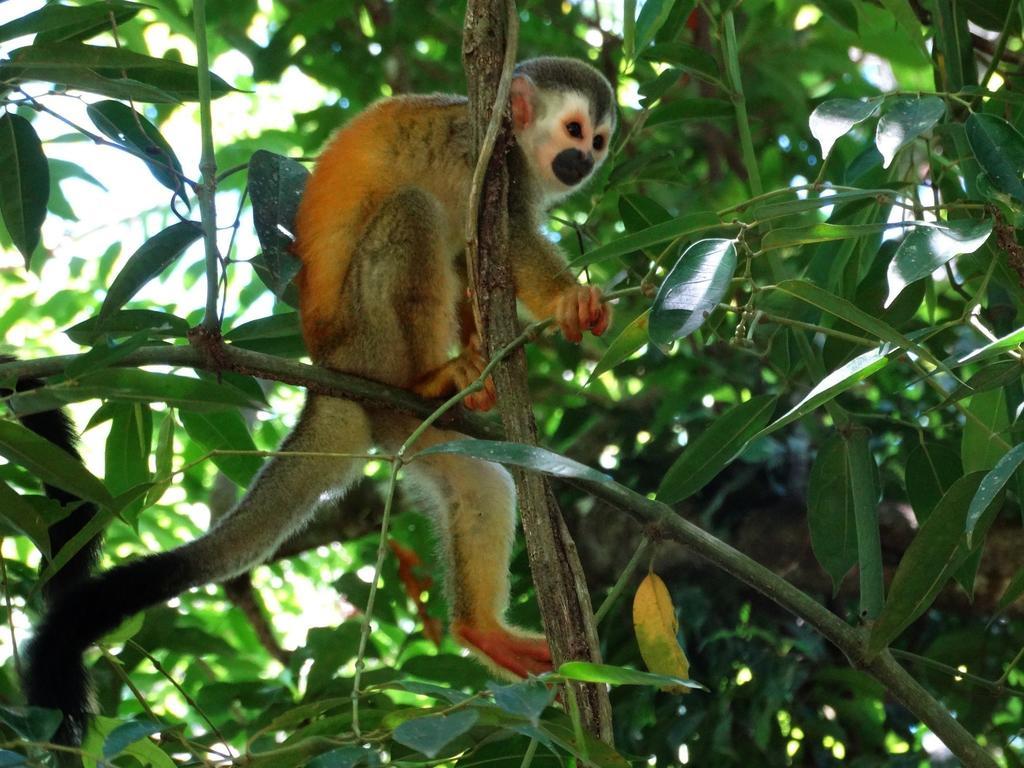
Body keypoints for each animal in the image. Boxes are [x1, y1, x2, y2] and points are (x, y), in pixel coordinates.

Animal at [24, 55, 614, 745]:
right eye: (573, 129)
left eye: (599, 140)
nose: (583, 161)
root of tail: (331, 378)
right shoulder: (488, 159)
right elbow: (505, 244)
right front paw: (567, 300)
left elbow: (474, 263)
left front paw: (491, 335)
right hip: (369, 340)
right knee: (413, 212)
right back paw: (435, 377)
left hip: (407, 432)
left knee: (481, 481)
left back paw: (481, 629)